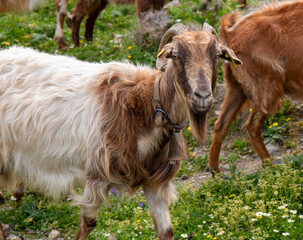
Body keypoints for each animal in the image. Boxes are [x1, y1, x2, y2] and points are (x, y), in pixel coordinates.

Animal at [208, 0, 303, 174]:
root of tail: (230, 35)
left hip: (236, 88)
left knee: (221, 124)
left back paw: (215, 170)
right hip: (267, 85)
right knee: (252, 125)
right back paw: (270, 164)